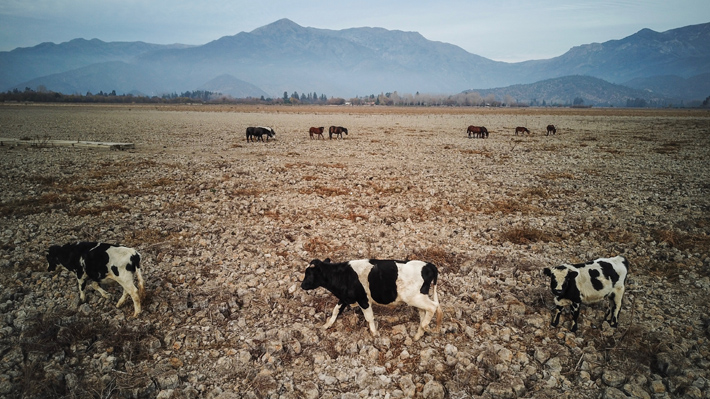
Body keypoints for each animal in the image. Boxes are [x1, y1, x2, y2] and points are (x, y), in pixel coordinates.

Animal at [302, 260, 444, 340]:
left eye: (309, 273)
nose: (302, 285)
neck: (343, 275)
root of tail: (429, 265)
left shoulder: (363, 299)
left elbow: (369, 317)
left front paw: (374, 333)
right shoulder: (345, 297)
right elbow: (335, 310)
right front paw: (327, 325)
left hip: (414, 297)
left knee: (433, 307)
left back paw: (426, 328)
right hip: (418, 298)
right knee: (425, 311)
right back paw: (418, 334)